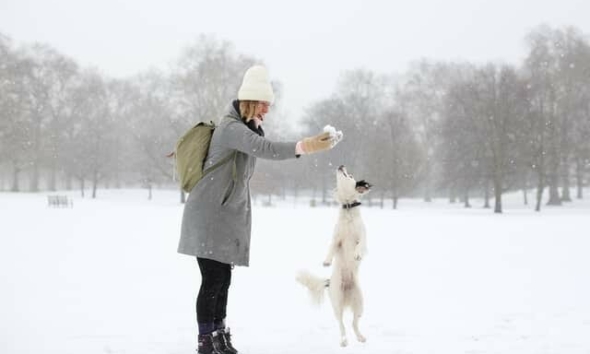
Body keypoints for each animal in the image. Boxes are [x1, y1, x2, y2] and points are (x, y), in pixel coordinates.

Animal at [298, 165, 372, 348]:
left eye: (350, 175)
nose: (341, 166)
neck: (348, 208)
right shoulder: (336, 239)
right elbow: (331, 248)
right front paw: (326, 261)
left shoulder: (362, 236)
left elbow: (361, 244)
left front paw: (357, 254)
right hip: (337, 303)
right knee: (342, 324)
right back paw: (344, 340)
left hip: (360, 303)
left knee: (354, 323)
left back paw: (360, 337)